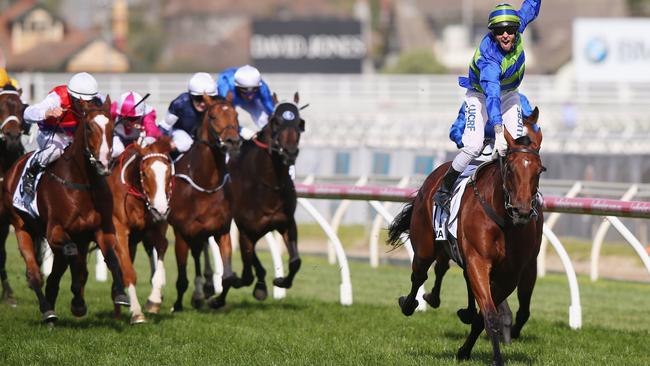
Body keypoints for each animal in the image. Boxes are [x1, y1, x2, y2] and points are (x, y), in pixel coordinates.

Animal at [1, 95, 129, 324]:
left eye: (112, 126)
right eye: (88, 127)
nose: (104, 162)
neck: (83, 183)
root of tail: (14, 167)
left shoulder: (99, 229)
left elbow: (111, 258)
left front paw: (120, 294)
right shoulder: (55, 231)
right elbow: (73, 257)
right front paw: (77, 300)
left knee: (56, 273)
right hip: (21, 227)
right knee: (35, 274)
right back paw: (47, 310)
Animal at [165, 94, 240, 312]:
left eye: (236, 115)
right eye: (213, 116)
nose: (233, 141)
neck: (205, 182)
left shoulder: (221, 230)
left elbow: (227, 277)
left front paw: (216, 300)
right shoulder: (181, 232)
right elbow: (182, 278)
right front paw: (177, 305)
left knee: (200, 251)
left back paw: (203, 290)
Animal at [229, 92, 306, 300]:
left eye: (300, 123)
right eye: (276, 122)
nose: (290, 152)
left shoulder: (287, 224)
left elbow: (296, 261)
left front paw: (280, 281)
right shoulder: (246, 229)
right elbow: (246, 273)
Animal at [388, 109, 544, 366]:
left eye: (539, 170)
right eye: (510, 168)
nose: (521, 211)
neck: (503, 220)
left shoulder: (510, 274)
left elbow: (485, 315)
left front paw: (464, 350)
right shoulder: (478, 260)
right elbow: (490, 314)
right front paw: (497, 359)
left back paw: (463, 311)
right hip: (425, 245)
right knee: (419, 274)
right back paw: (409, 304)